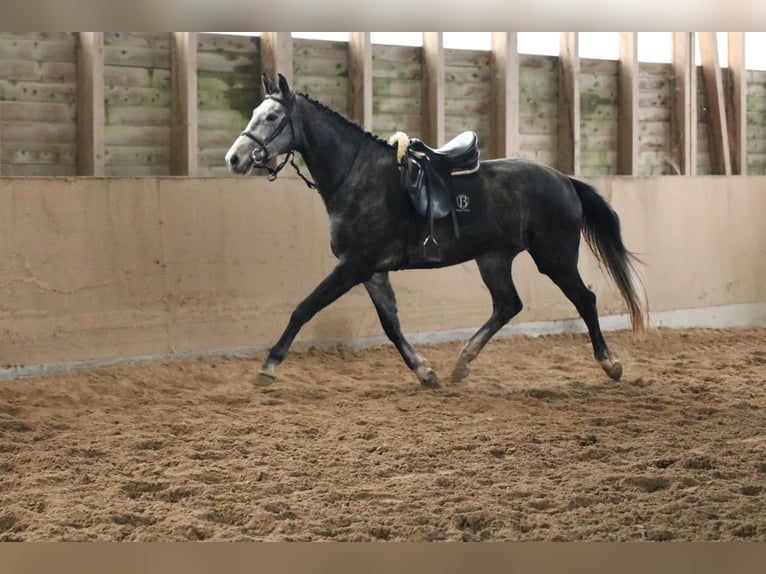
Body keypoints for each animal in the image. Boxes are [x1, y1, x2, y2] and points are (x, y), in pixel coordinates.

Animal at [224, 72, 648, 388]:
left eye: (272, 118)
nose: (235, 158)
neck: (357, 177)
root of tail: (564, 180)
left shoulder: (353, 265)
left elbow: (304, 308)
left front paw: (268, 367)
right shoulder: (372, 271)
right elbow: (391, 325)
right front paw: (425, 372)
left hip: (554, 258)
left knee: (585, 300)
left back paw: (610, 364)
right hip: (493, 258)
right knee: (507, 304)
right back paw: (462, 363)